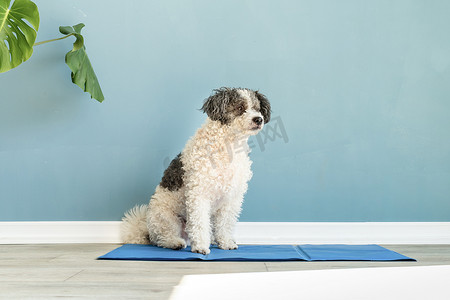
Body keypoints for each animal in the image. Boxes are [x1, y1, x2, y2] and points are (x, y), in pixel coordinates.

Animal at [119, 86, 270, 253]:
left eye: (257, 108)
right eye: (240, 108)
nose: (259, 119)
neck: (228, 145)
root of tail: (146, 229)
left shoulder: (231, 197)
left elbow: (225, 223)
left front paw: (225, 242)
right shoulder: (199, 193)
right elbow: (200, 223)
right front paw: (201, 247)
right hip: (166, 218)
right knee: (162, 238)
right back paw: (175, 242)